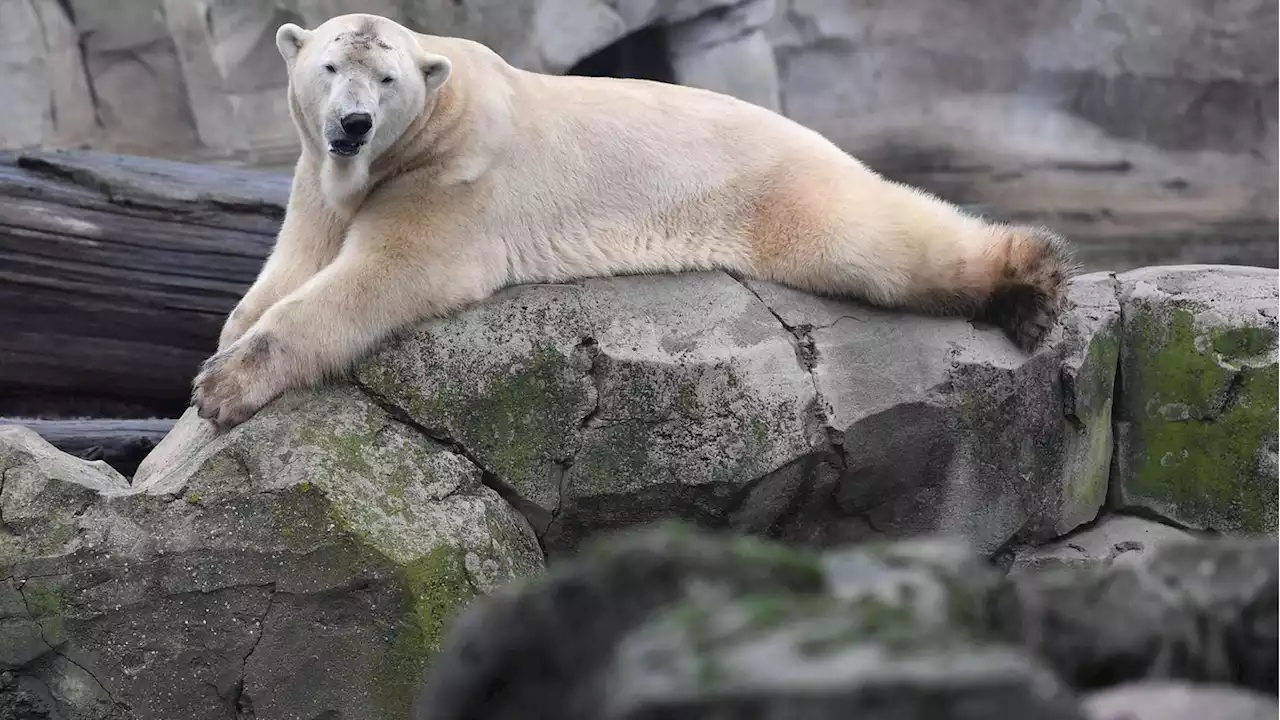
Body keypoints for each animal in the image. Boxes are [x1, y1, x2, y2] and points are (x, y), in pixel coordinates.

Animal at [192, 12, 1070, 425]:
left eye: (388, 78)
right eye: (328, 65)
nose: (352, 124)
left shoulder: (452, 178)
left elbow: (383, 274)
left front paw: (224, 386)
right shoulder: (317, 176)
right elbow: (289, 265)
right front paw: (225, 342)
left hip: (778, 188)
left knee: (872, 240)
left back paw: (1034, 283)